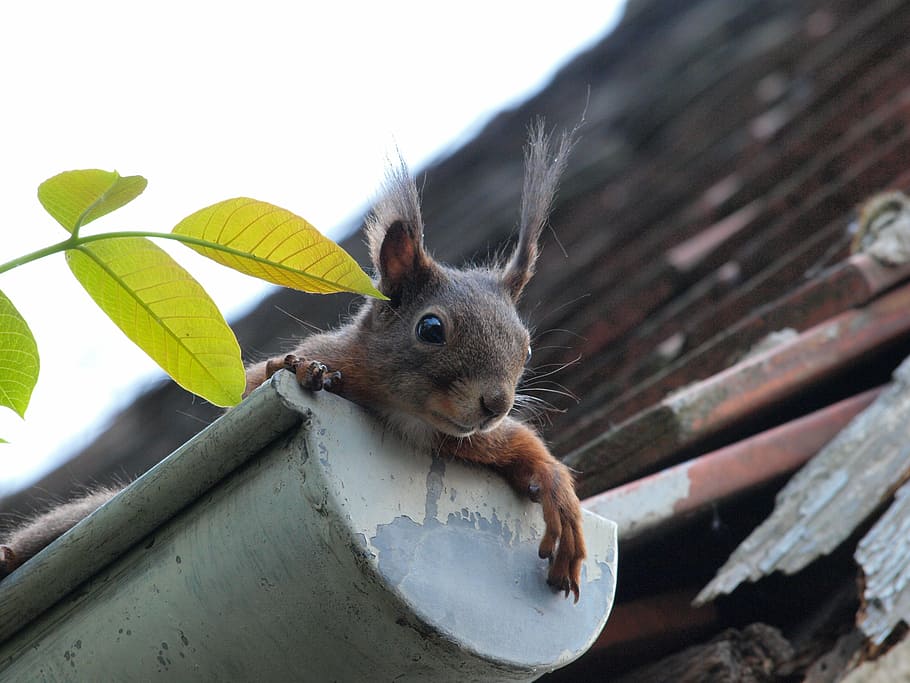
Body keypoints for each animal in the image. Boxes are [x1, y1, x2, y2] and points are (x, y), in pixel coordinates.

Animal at [0, 122, 587, 601]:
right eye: (431, 329)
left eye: (526, 346)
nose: (495, 403)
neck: (406, 414)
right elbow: (253, 385)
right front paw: (302, 372)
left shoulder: (460, 439)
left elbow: (519, 446)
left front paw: (557, 493)